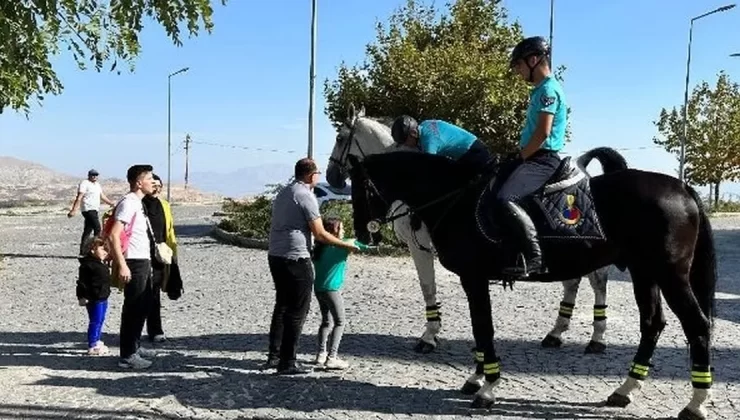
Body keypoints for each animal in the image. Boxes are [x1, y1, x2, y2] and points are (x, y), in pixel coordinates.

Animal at [350, 148, 720, 420]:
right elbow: (479, 329)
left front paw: (487, 388)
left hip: (670, 275)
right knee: (652, 323)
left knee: (697, 325)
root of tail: (681, 188)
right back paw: (625, 390)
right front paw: (477, 378)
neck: (455, 200)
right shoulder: (474, 280)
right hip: (645, 273)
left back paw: (696, 403)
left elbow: (483, 328)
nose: (362, 233)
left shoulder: (474, 277)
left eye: (359, 187)